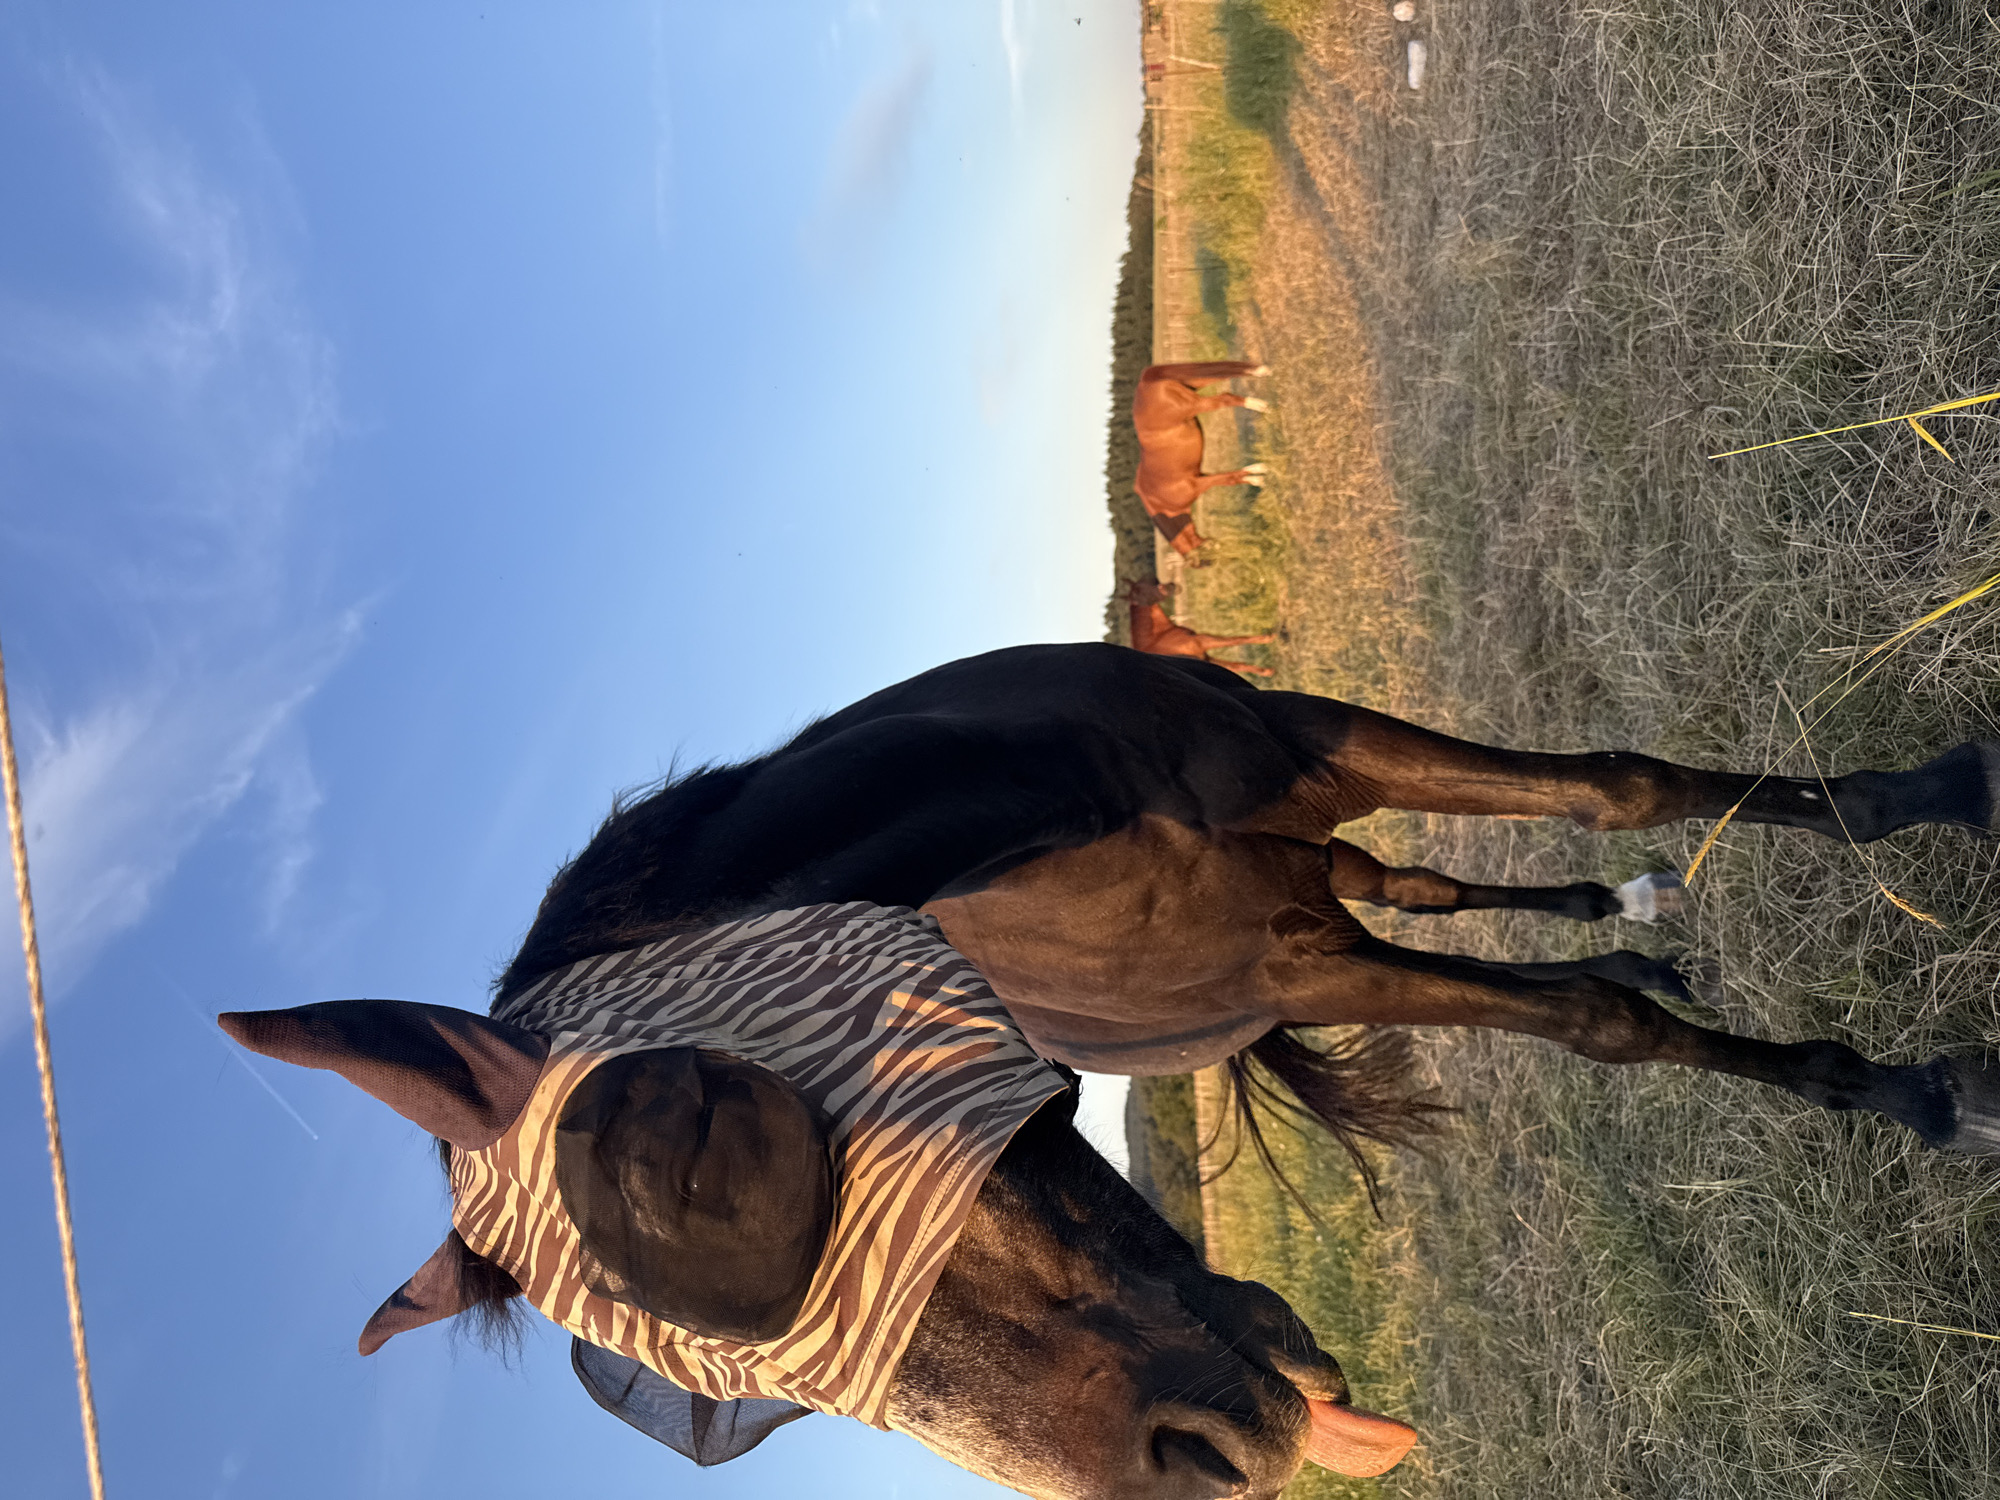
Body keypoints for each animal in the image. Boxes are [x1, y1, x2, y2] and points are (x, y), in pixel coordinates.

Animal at [223, 642, 2000, 1500]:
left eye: (706, 1165)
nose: (1203, 1473)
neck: (1052, 845)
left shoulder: (1315, 751)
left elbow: (1617, 787)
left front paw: (1925, 826)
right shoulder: (1295, 958)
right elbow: (1589, 1021)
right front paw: (1898, 1081)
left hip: (1316, 853)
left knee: (1450, 886)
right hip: (1310, 921)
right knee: (1438, 906)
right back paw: (1621, 940)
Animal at [1124, 577, 1276, 677]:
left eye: (1154, 582)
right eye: (1153, 588)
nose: (1173, 585)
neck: (1159, 635)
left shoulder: (1206, 658)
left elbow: (1237, 665)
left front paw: (1266, 671)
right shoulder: (1199, 642)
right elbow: (1233, 640)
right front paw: (1267, 638)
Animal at [1132, 361, 1270, 563]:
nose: (1250, 552)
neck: (1160, 502)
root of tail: (1145, 380)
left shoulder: (1197, 484)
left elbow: (1228, 479)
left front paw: (1259, 476)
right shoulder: (1200, 476)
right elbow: (1230, 477)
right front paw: (1257, 472)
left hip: (1195, 404)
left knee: (1225, 398)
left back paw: (1260, 404)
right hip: (1194, 385)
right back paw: (1261, 373)